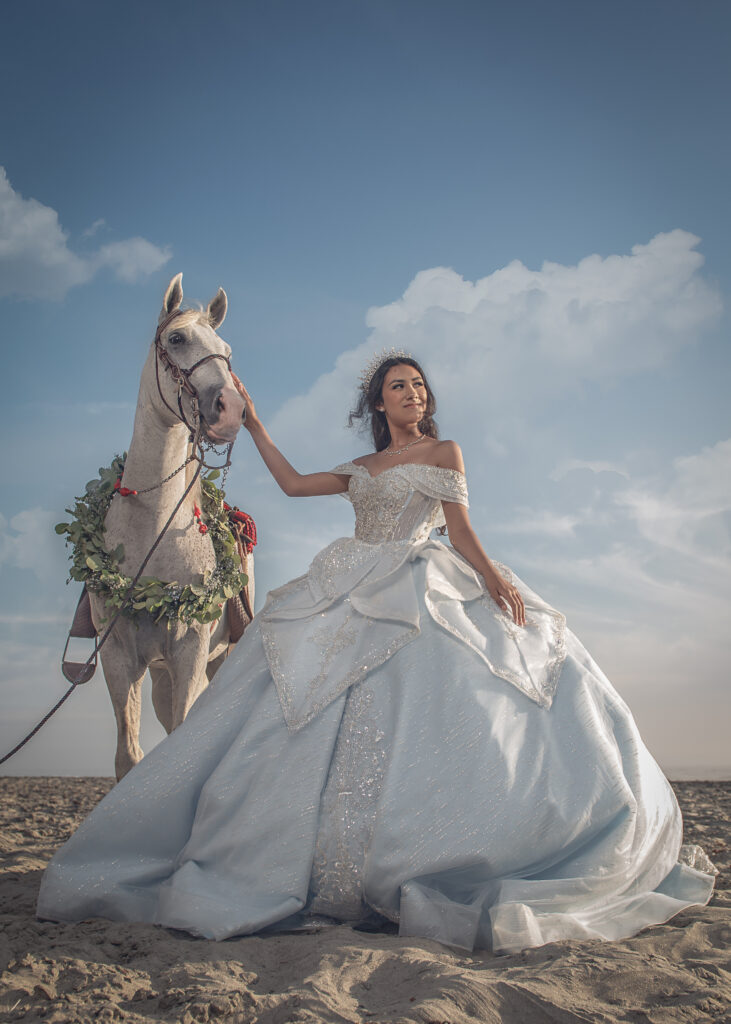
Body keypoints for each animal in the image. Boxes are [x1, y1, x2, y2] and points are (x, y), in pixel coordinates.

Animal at [88, 272, 250, 774]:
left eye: (227, 350)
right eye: (176, 339)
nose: (231, 408)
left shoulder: (190, 652)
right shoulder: (118, 657)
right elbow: (129, 756)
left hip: (215, 661)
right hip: (159, 675)